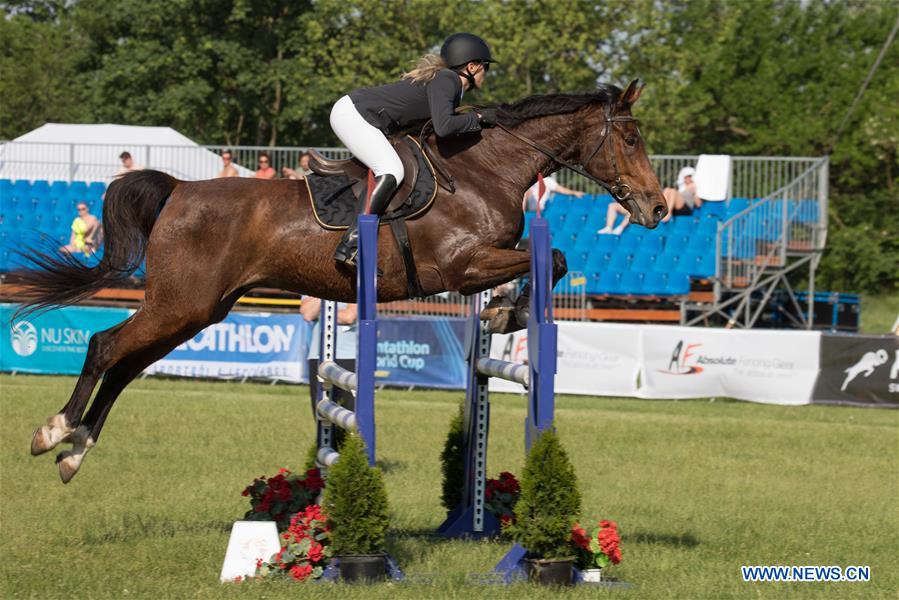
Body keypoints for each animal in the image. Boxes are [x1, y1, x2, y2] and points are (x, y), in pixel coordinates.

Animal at [15, 79, 668, 482]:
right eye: (631, 137)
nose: (660, 209)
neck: (486, 170)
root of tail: (179, 188)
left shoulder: (481, 263)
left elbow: (547, 262)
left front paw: (503, 312)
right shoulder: (461, 265)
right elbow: (551, 258)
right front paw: (505, 313)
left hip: (197, 310)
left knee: (127, 364)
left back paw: (75, 453)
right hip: (179, 304)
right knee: (106, 347)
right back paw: (54, 432)